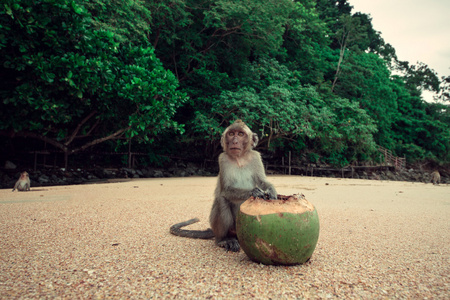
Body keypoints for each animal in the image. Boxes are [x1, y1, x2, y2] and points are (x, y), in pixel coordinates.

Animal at [171, 119, 278, 251]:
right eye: (231, 134)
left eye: (240, 134)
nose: (235, 141)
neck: (239, 159)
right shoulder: (223, 159)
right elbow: (225, 191)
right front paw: (253, 191)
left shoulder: (255, 157)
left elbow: (262, 181)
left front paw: (271, 190)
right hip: (224, 226)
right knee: (221, 200)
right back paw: (224, 239)